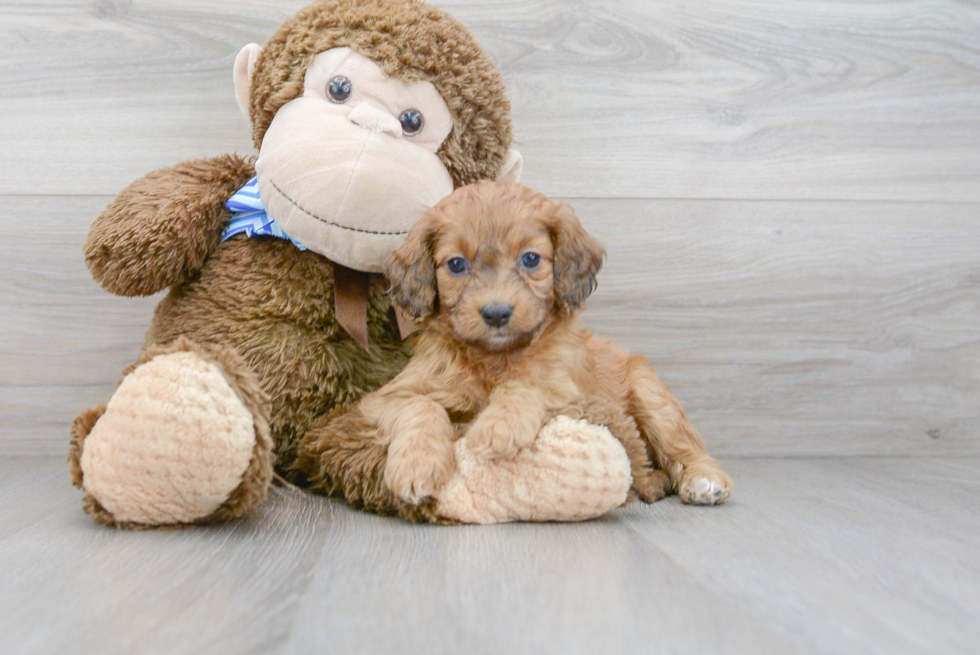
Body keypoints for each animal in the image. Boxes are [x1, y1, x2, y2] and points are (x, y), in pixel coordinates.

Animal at [322, 182, 728, 510]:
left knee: (686, 447)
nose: (497, 313)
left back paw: (706, 481)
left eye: (530, 258)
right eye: (456, 264)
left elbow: (525, 384)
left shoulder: (570, 392)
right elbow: (420, 406)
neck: (493, 357)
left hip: (650, 393)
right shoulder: (384, 399)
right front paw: (416, 464)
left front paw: (498, 426)